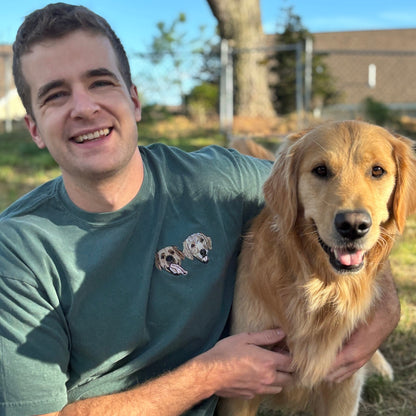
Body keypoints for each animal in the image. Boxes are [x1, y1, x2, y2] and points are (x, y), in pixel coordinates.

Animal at [221, 120, 416, 416]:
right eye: (320, 170)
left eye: (377, 170)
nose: (353, 226)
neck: (321, 288)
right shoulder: (243, 380)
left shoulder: (344, 382)